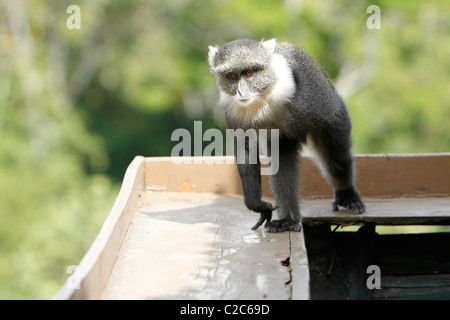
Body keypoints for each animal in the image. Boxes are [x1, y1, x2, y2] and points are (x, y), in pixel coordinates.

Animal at [207, 39, 366, 232]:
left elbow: (334, 118)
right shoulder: (234, 113)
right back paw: (287, 219)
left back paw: (347, 195)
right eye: (232, 76)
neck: (263, 98)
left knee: (337, 158)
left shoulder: (318, 102)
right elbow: (246, 153)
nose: (242, 92)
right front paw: (257, 205)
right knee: (282, 161)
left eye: (249, 73)